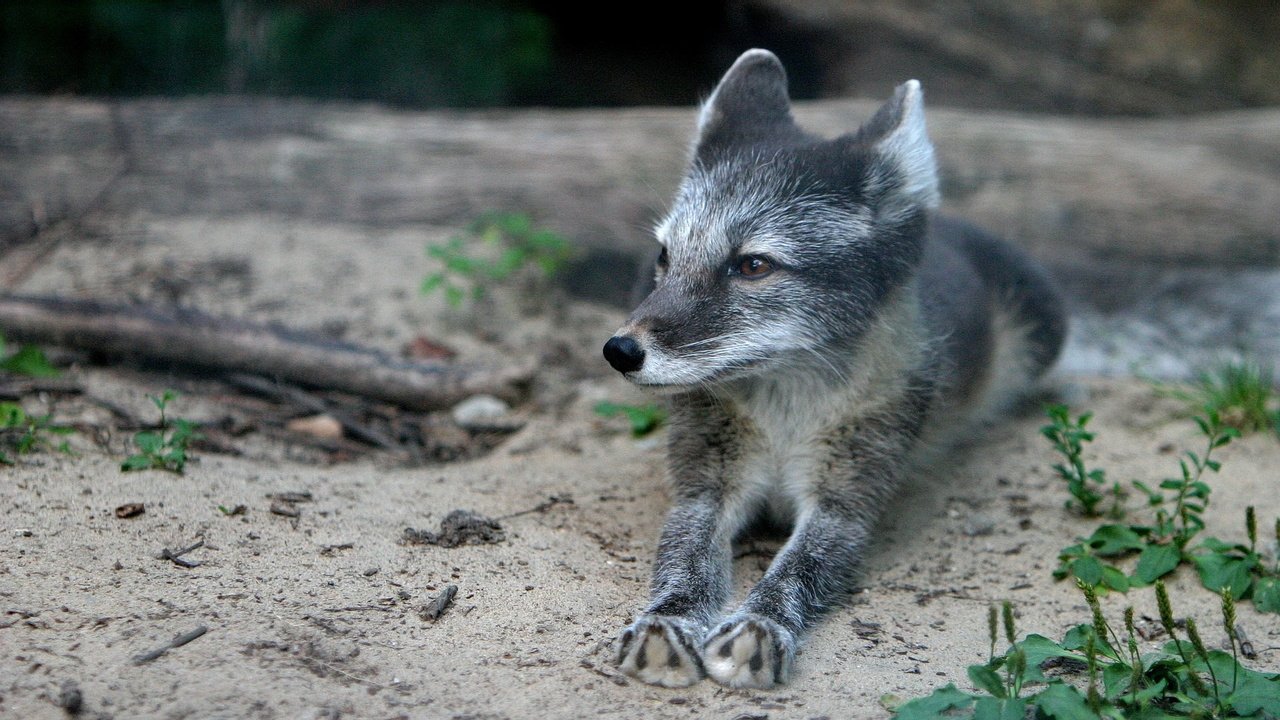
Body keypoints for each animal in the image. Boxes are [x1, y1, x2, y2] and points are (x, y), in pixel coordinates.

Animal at [601, 47, 1070, 686]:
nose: (619, 351)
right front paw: (668, 620)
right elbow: (684, 558)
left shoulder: (847, 503)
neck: (786, 416)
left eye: (753, 265)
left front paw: (760, 625)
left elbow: (798, 568)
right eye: (665, 257)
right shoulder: (703, 488)